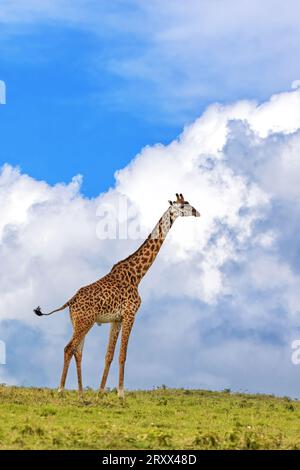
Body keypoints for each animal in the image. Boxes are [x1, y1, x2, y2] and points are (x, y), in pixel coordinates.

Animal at [34, 193, 200, 398]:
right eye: (184, 205)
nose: (197, 212)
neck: (137, 275)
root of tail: (70, 301)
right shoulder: (130, 314)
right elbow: (123, 355)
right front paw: (121, 393)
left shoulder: (116, 319)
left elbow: (109, 355)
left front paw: (100, 392)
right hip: (85, 322)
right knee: (68, 348)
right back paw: (61, 390)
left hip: (79, 322)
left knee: (78, 351)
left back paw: (81, 393)